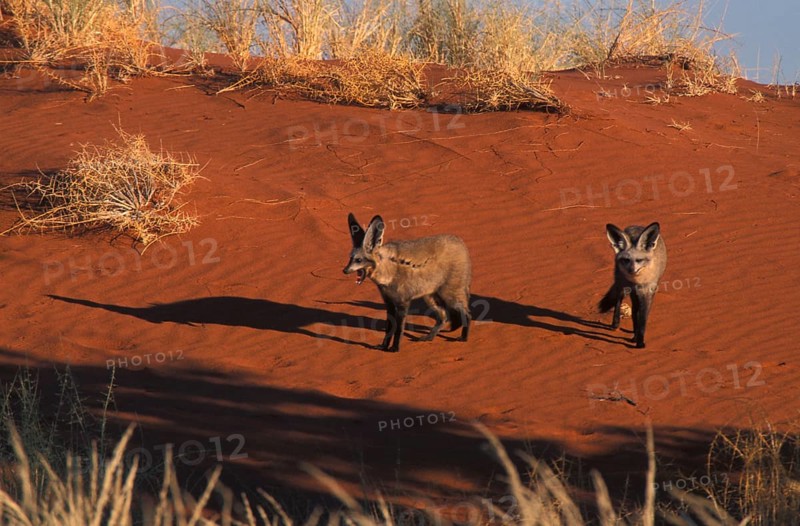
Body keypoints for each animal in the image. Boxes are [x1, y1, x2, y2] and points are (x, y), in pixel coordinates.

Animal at [343, 213, 472, 352]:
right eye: (350, 259)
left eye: (358, 260)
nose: (344, 270)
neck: (388, 273)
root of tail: (461, 243)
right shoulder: (389, 303)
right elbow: (389, 328)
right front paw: (384, 346)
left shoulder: (403, 303)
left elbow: (399, 329)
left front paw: (395, 348)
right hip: (430, 297)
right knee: (443, 317)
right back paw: (429, 337)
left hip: (449, 296)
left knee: (467, 314)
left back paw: (464, 337)